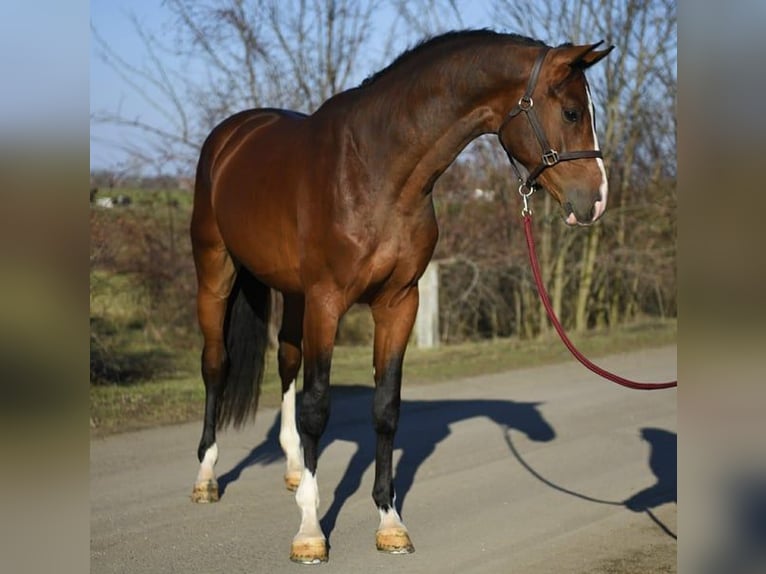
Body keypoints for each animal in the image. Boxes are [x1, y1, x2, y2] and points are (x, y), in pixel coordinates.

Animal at [189, 29, 613, 564]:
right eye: (573, 112)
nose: (596, 201)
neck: (375, 169)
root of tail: (231, 135)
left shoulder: (399, 302)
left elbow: (386, 408)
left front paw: (390, 523)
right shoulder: (327, 301)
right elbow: (317, 408)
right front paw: (309, 531)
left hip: (291, 291)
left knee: (286, 361)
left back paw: (293, 468)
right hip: (216, 272)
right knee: (216, 365)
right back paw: (206, 477)